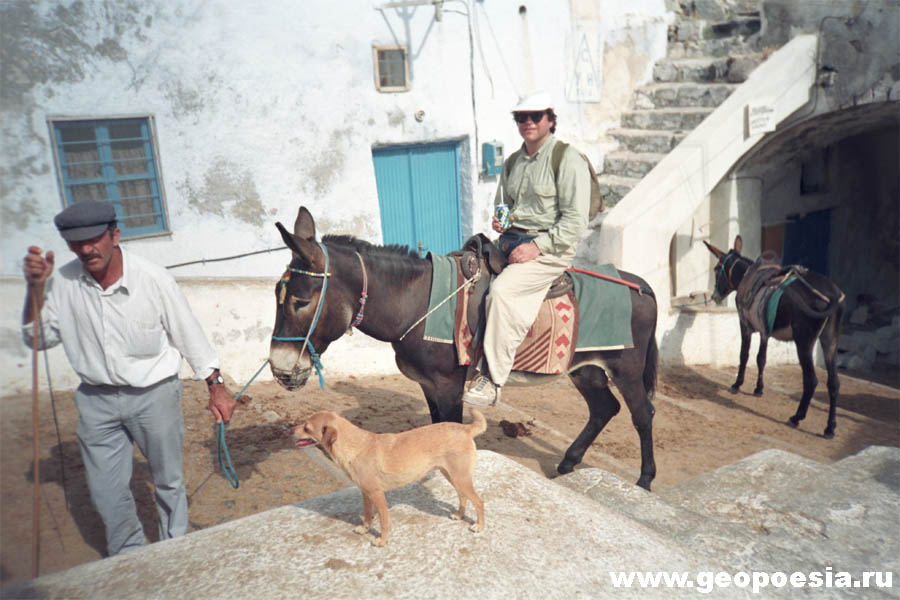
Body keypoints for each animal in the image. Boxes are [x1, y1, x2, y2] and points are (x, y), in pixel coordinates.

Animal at [296, 410, 486, 548]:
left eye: (306, 427)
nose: (291, 430)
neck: (356, 446)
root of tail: (465, 428)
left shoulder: (377, 495)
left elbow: (383, 522)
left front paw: (382, 541)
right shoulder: (366, 493)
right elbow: (367, 515)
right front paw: (364, 529)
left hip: (460, 479)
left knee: (479, 501)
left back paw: (480, 526)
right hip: (453, 477)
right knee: (463, 497)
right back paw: (459, 515)